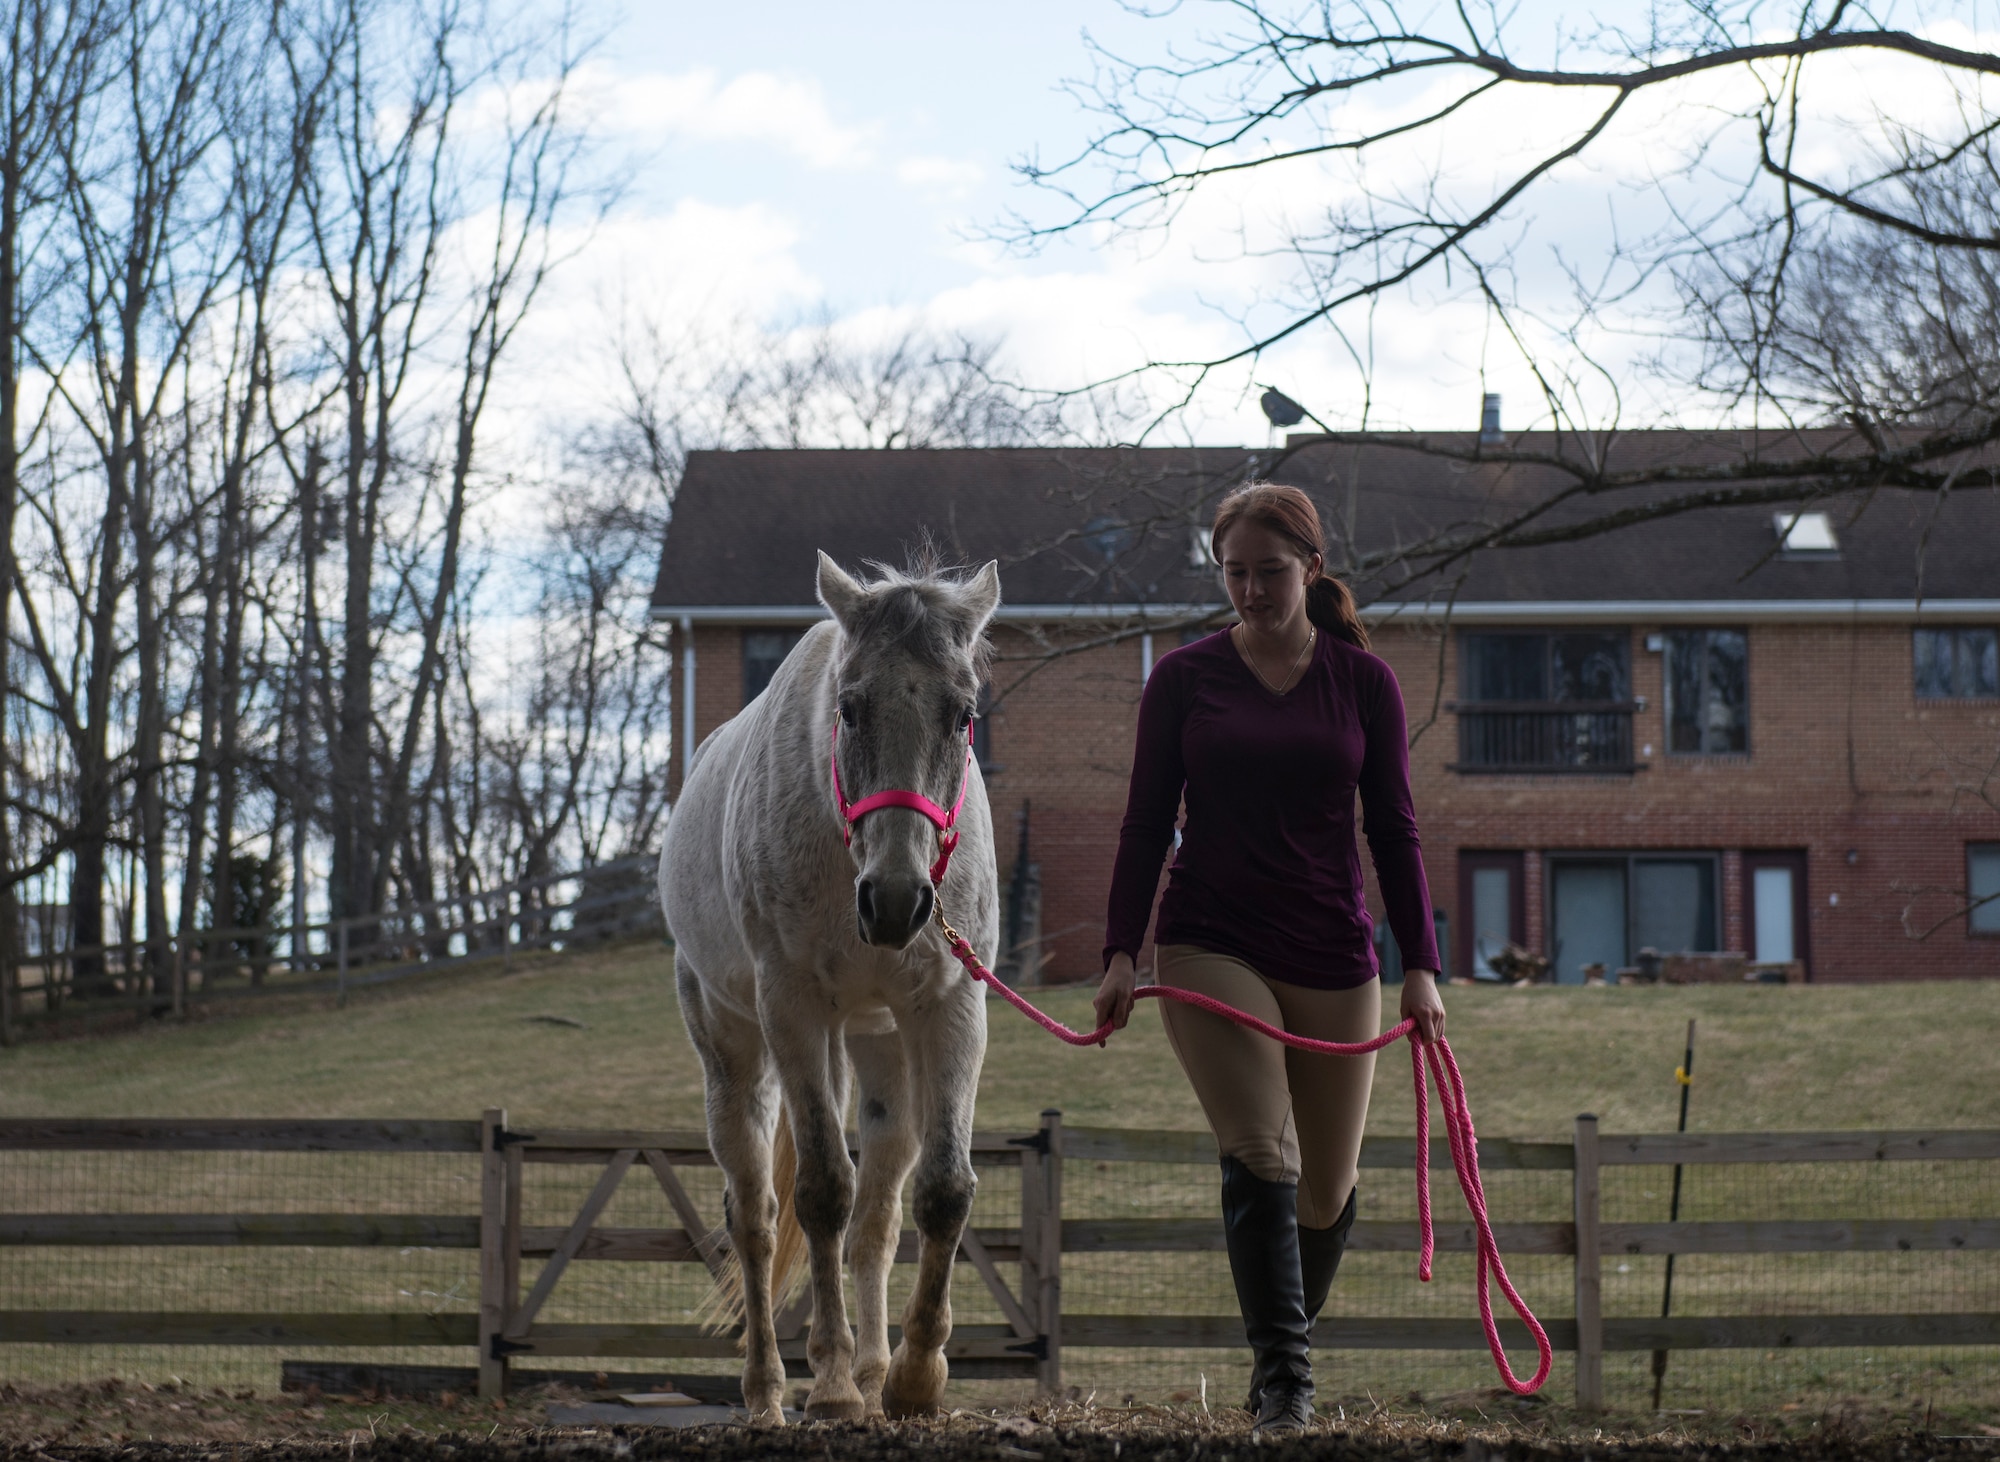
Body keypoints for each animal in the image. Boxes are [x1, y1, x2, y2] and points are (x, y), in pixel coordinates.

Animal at [656, 548, 1000, 1416]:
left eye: (962, 713)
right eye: (849, 708)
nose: (898, 901)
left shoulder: (952, 1007)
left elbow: (942, 1191)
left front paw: (915, 1376)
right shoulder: (796, 1010)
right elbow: (819, 1195)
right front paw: (836, 1385)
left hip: (882, 1050)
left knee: (878, 1214)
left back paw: (878, 1374)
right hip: (736, 1051)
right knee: (755, 1213)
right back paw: (773, 1391)